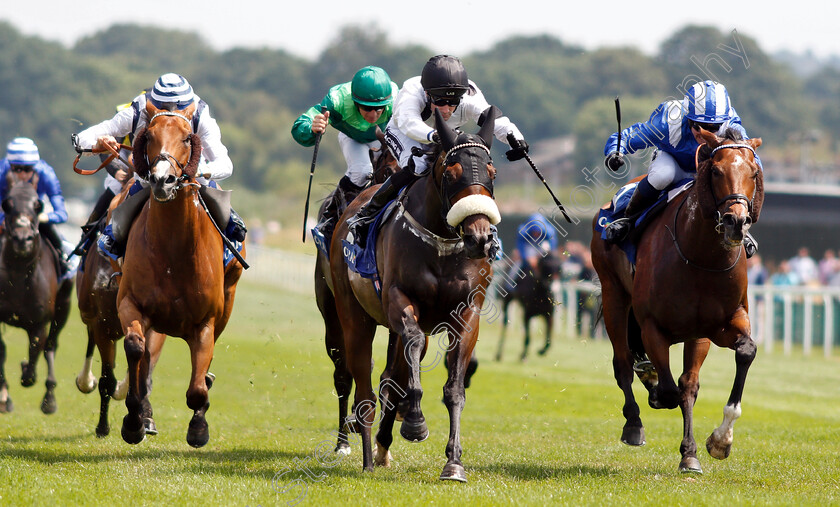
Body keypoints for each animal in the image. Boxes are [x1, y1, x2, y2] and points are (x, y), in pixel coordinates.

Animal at [0, 181, 72, 414]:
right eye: (7, 205)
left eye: (37, 206)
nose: (23, 239)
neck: (18, 275)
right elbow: (2, 351)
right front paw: (4, 397)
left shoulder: (39, 322)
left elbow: (33, 358)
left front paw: (25, 370)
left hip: (64, 307)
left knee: (51, 345)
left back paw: (49, 399)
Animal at [113, 100, 243, 448]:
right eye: (148, 136)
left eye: (187, 138)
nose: (163, 180)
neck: (173, 251)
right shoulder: (131, 303)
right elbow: (135, 349)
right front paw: (133, 421)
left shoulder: (205, 322)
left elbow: (197, 387)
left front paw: (199, 427)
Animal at [328, 109, 498, 482]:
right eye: (451, 173)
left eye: (491, 174)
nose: (480, 237)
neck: (442, 244)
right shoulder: (399, 300)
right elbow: (414, 345)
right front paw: (416, 423)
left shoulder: (467, 314)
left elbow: (453, 388)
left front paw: (454, 463)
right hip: (352, 316)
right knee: (363, 383)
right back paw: (366, 457)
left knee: (389, 378)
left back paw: (382, 446)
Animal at [592, 129, 760, 474]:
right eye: (716, 171)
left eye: (753, 172)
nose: (736, 222)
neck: (700, 257)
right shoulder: (652, 326)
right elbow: (670, 390)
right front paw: (655, 391)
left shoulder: (717, 325)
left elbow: (734, 358)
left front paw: (715, 443)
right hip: (615, 294)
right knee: (622, 363)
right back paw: (634, 422)